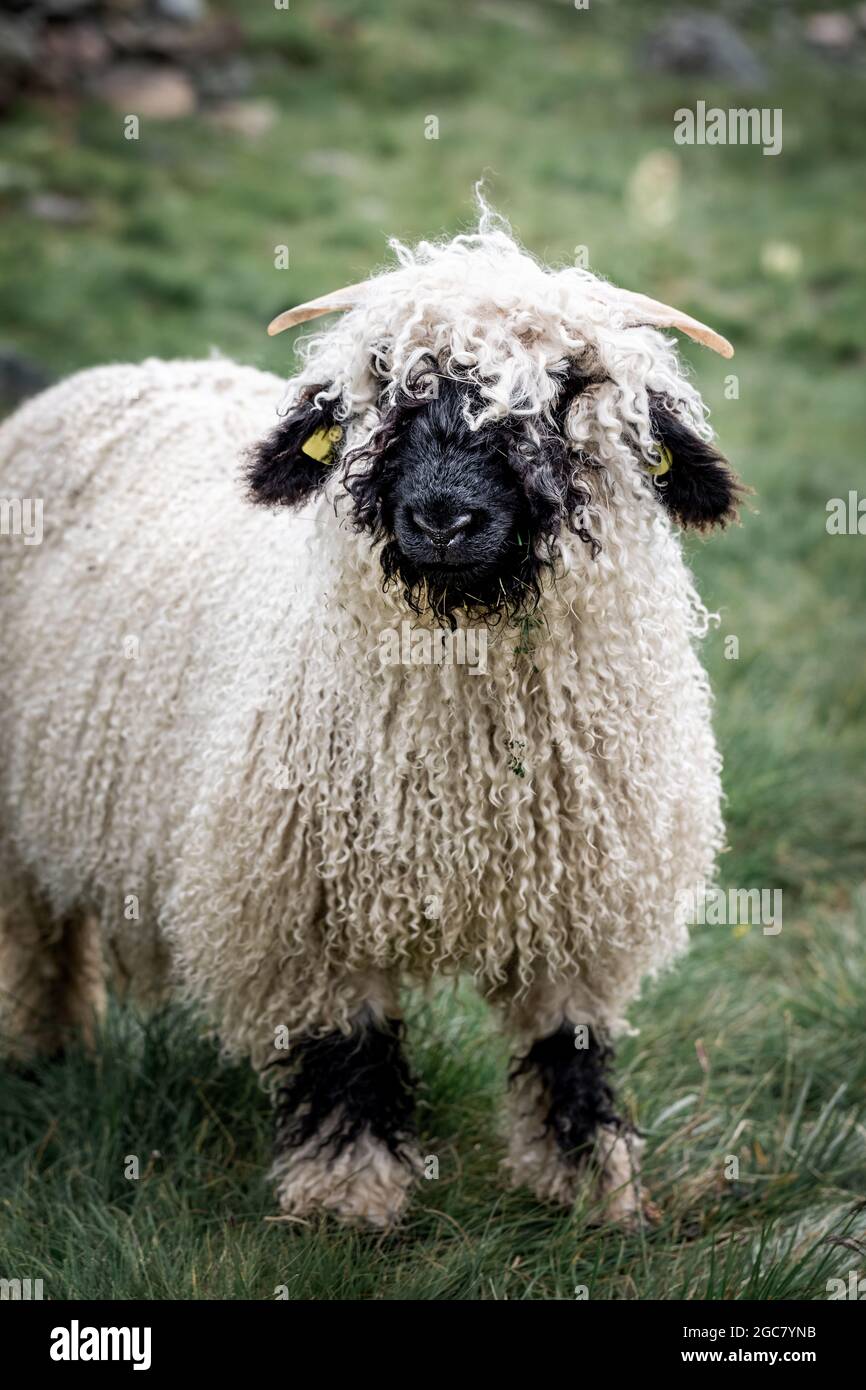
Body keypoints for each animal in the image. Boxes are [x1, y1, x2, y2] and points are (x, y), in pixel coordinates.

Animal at [1, 205, 745, 1228]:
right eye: (385, 382)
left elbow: (569, 1049)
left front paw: (593, 1186)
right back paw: (46, 1051)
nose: (442, 518)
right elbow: (346, 1054)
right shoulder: (302, 909)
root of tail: (120, 372)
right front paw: (349, 1200)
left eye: (568, 389)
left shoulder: (579, 909)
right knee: (35, 936)